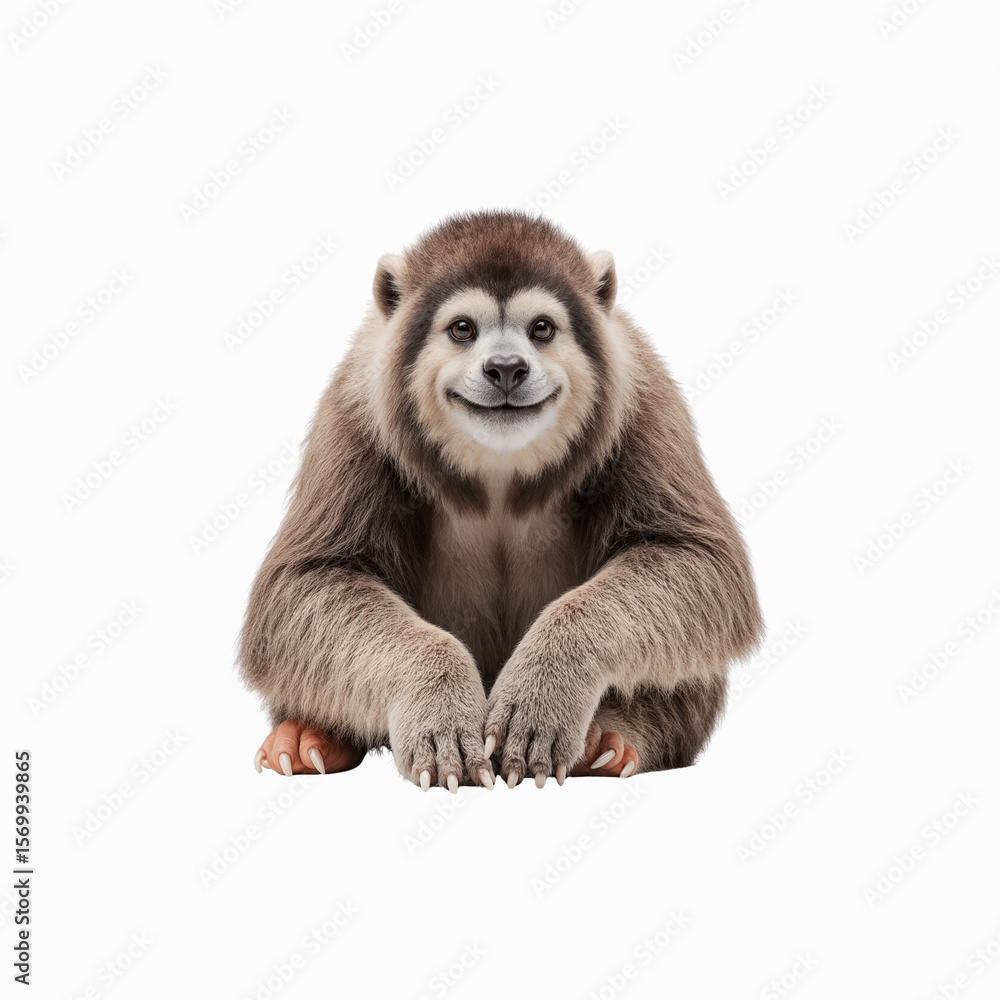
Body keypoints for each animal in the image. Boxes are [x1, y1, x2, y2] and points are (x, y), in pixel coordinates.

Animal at [238, 209, 763, 791]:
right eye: (462, 329)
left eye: (542, 328)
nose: (507, 367)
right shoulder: (354, 410)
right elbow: (302, 586)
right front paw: (439, 704)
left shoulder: (645, 399)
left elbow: (701, 563)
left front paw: (545, 690)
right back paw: (309, 736)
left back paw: (609, 742)